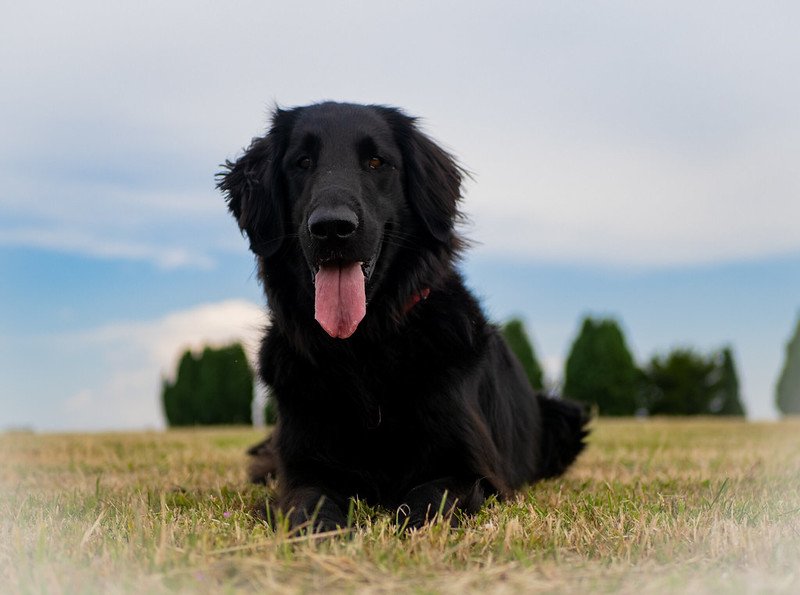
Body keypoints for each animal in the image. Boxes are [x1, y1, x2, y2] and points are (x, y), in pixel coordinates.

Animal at [219, 102, 588, 532]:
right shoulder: (302, 468)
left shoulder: (475, 472)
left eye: (377, 162)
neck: (364, 349)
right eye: (303, 162)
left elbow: (425, 500)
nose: (332, 228)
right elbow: (309, 505)